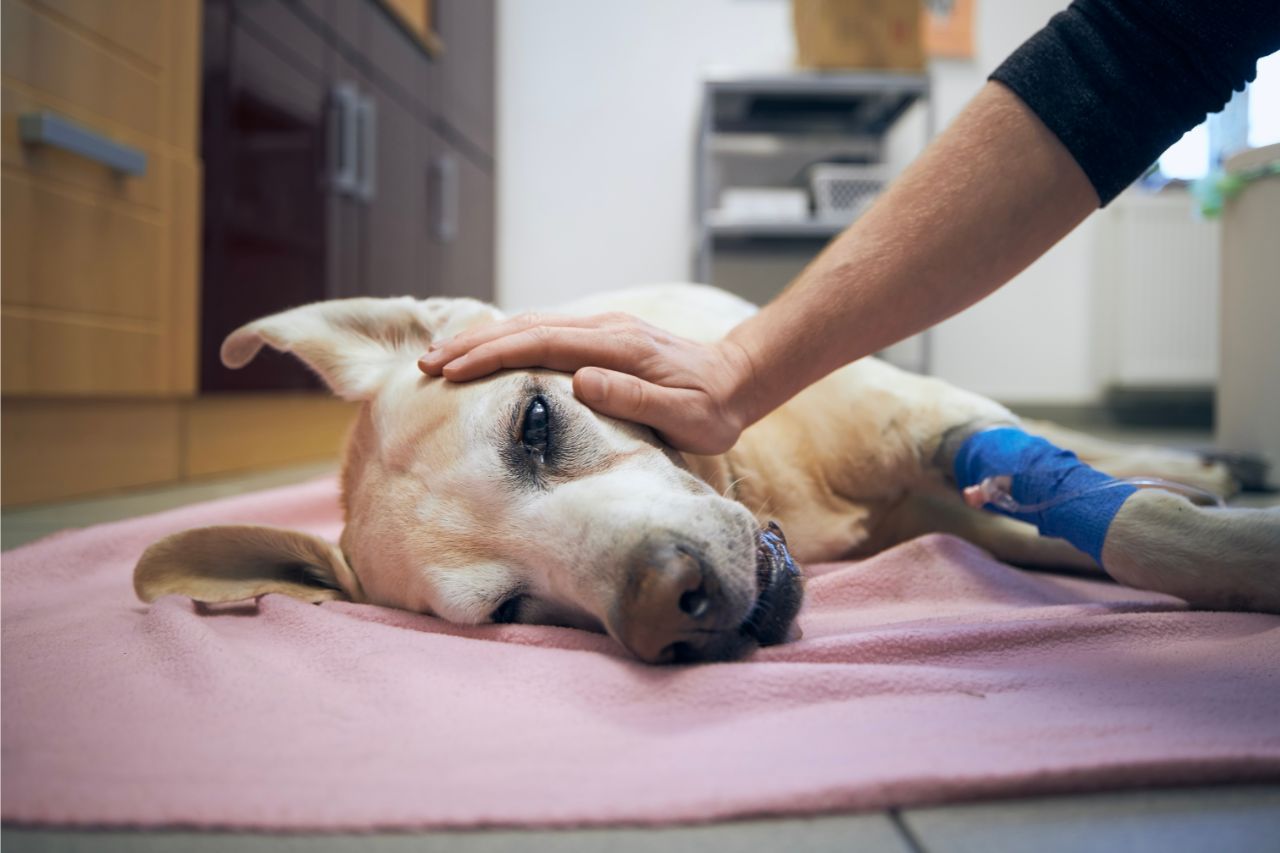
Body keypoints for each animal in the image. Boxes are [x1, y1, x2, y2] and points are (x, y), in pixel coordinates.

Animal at [135, 281, 1274, 660]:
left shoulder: (935, 425)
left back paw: (1199, 457)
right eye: (509, 609)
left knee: (1085, 449)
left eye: (535, 422)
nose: (664, 604)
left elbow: (1139, 527)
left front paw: (1233, 539)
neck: (771, 490)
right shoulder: (964, 508)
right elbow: (1114, 530)